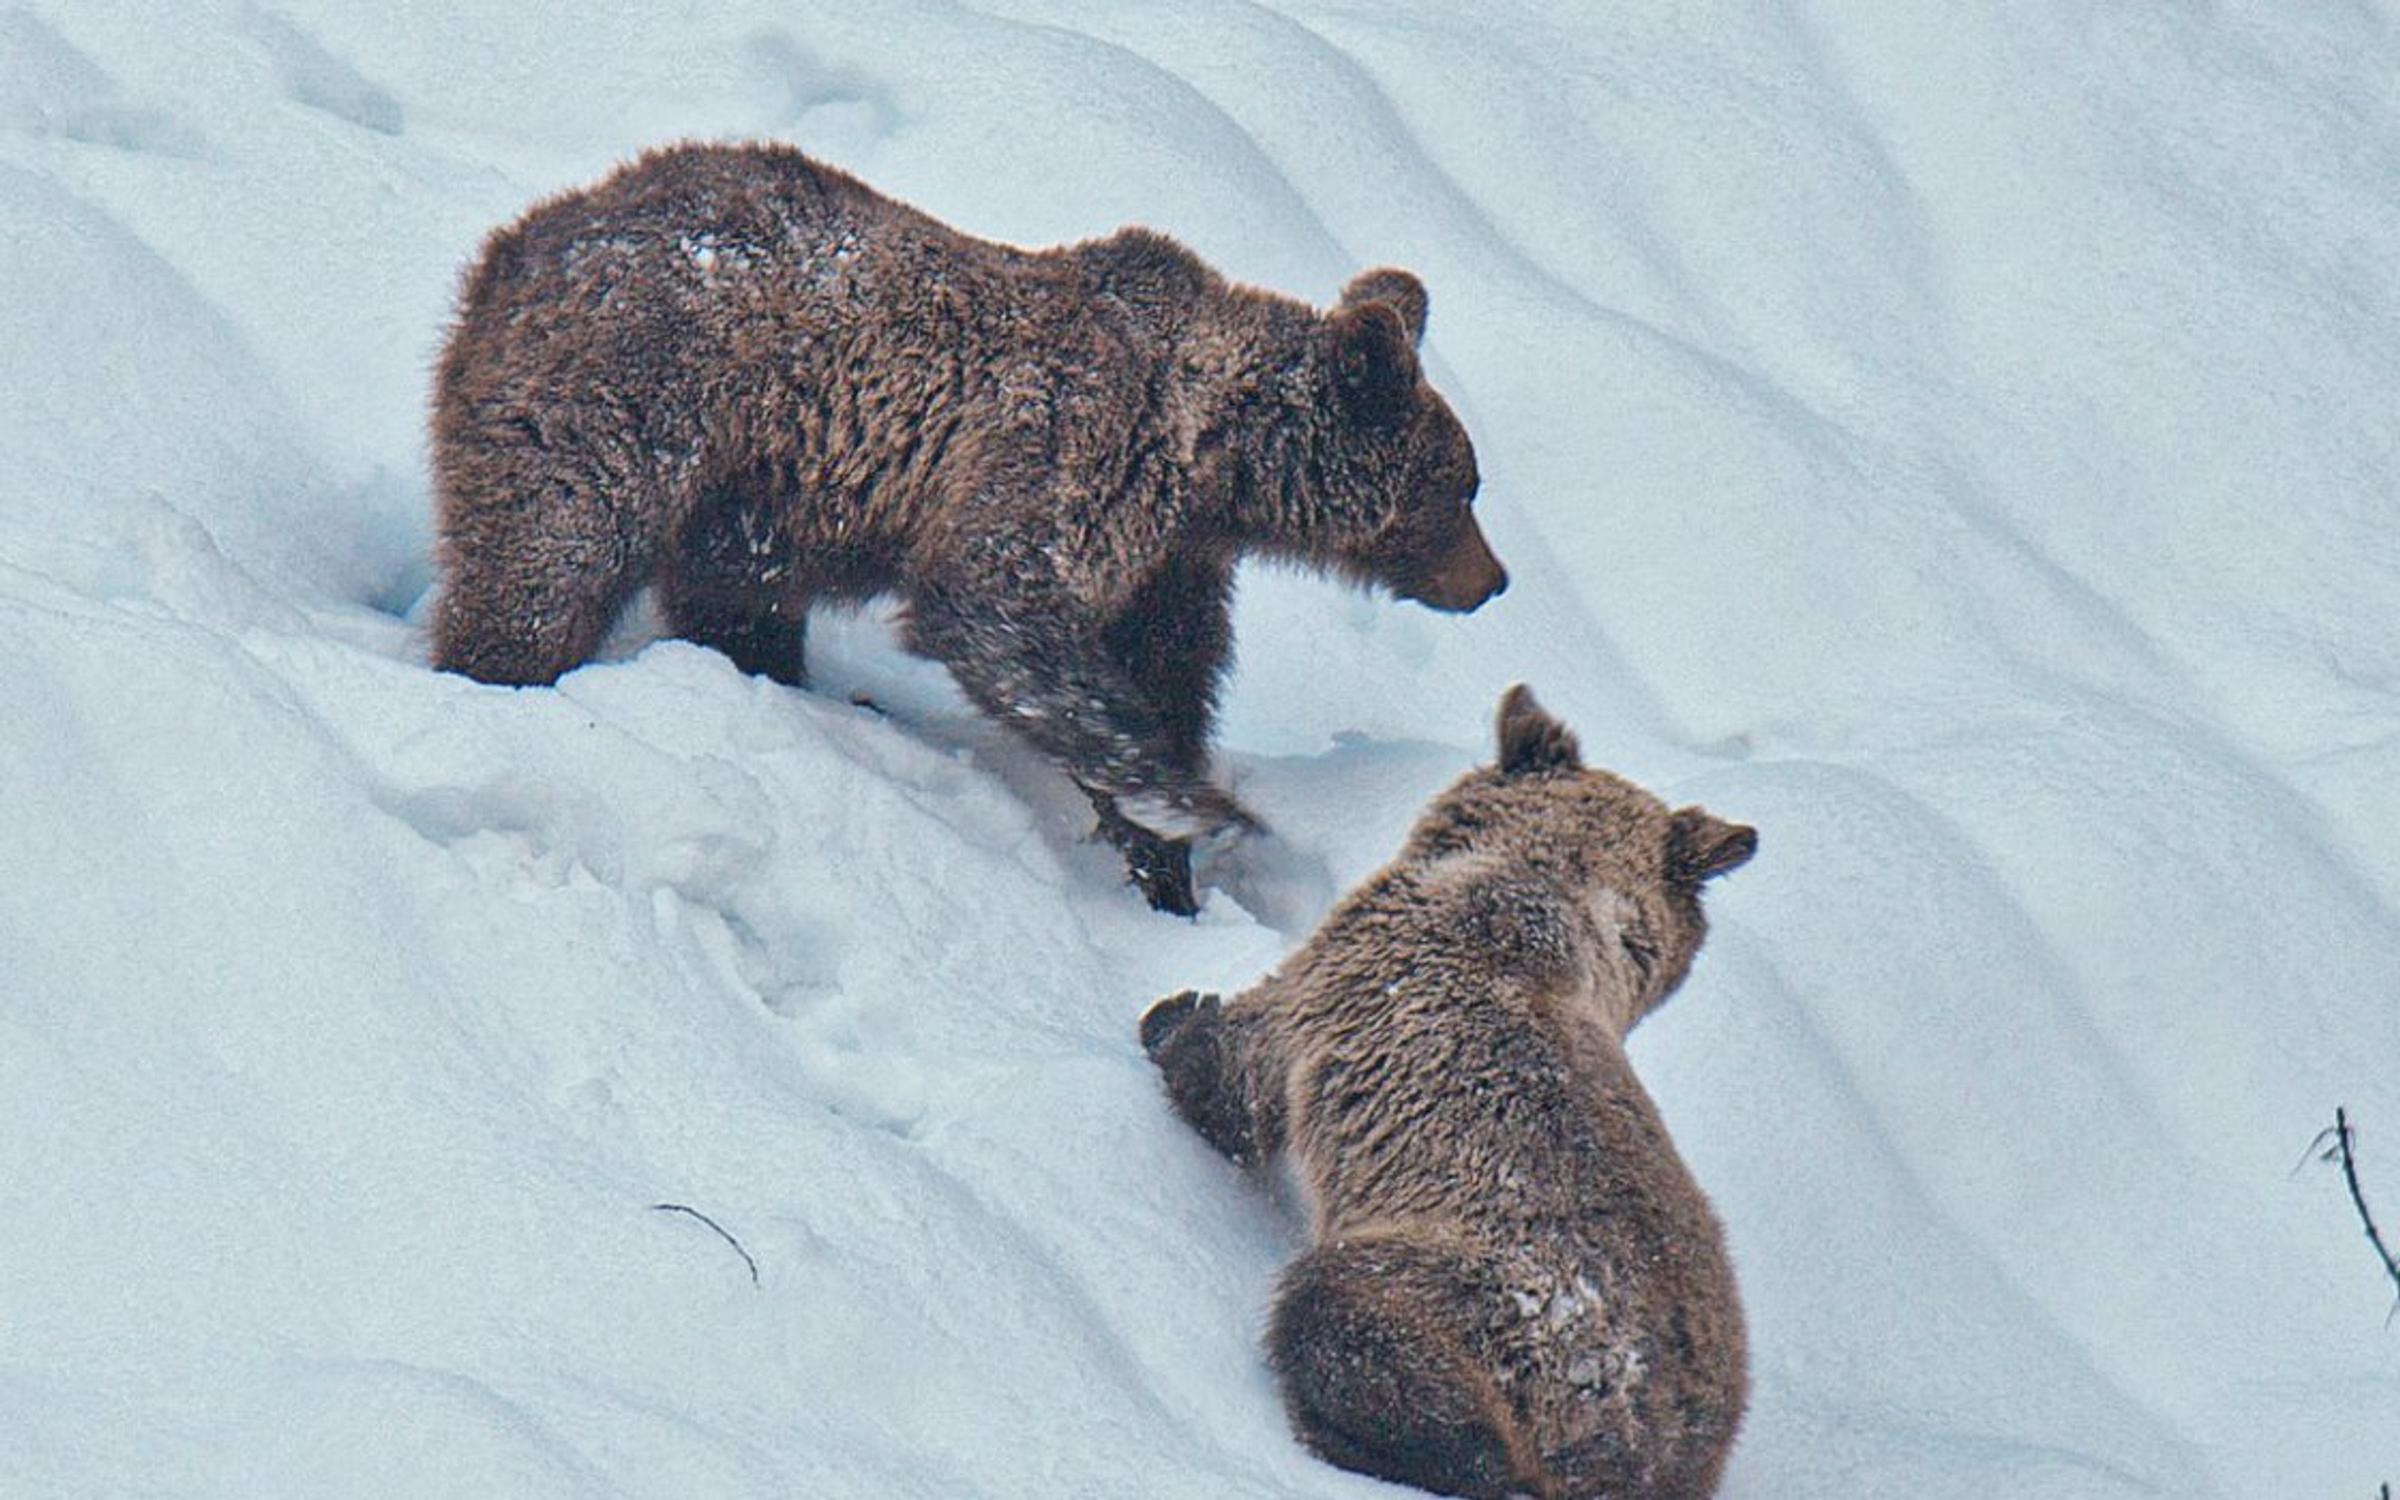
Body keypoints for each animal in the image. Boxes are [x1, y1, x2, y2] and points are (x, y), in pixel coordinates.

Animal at [427, 142, 1506, 914]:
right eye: (1465, 487)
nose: (1493, 581)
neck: (1213, 461)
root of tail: (509, 250)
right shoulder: (1068, 458)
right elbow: (999, 617)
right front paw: (1201, 807)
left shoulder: (1173, 562)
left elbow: (1168, 673)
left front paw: (1168, 859)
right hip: (629, 395)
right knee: (551, 556)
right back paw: (497, 677)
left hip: (739, 494)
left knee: (730, 604)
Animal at [1140, 685, 1756, 1498]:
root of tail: (1631, 1450)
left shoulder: (1347, 980)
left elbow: (1241, 1075)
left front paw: (1175, 1019)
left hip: (1478, 1304)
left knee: (1344, 1319)